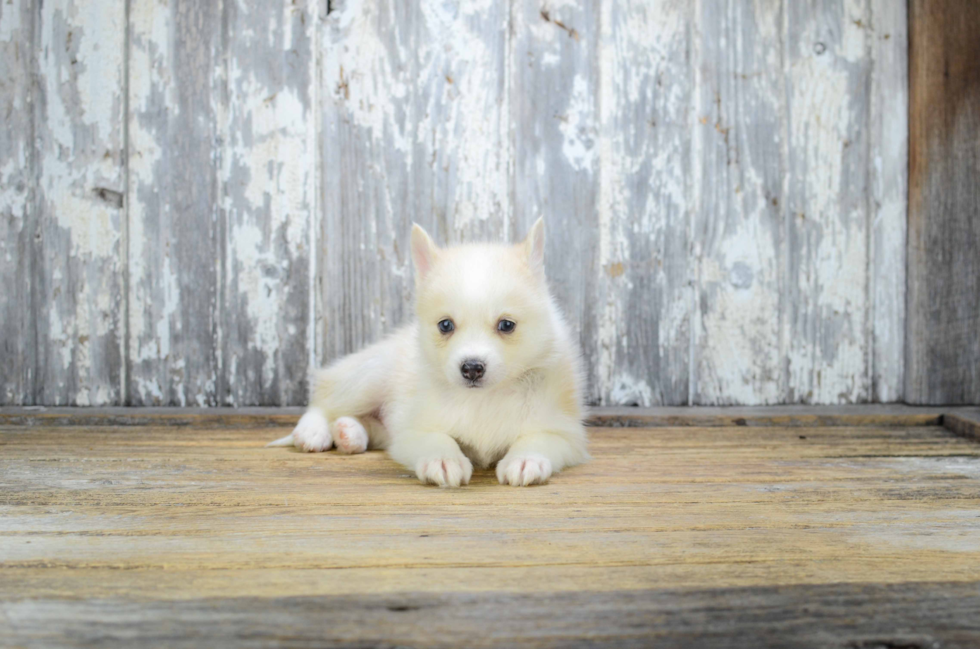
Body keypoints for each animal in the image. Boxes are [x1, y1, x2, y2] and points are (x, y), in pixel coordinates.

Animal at [266, 219, 588, 486]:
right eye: (445, 325)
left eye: (506, 325)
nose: (472, 368)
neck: (484, 398)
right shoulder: (412, 430)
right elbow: (436, 438)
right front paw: (443, 459)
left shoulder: (564, 432)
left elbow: (537, 439)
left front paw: (525, 460)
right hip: (368, 377)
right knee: (324, 399)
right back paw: (314, 432)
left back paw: (349, 434)